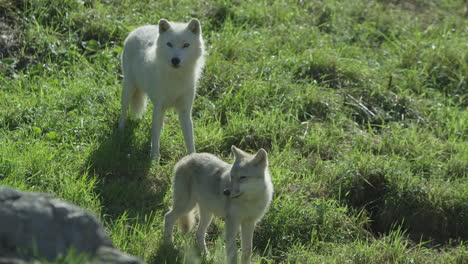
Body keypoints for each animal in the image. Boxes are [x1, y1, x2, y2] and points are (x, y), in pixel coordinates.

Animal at [119, 18, 205, 160]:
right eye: (169, 44)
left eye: (186, 45)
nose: (175, 60)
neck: (175, 79)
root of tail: (139, 29)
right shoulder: (158, 107)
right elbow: (155, 137)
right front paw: (154, 158)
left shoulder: (185, 111)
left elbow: (189, 138)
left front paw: (193, 157)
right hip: (128, 88)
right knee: (123, 112)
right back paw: (120, 132)